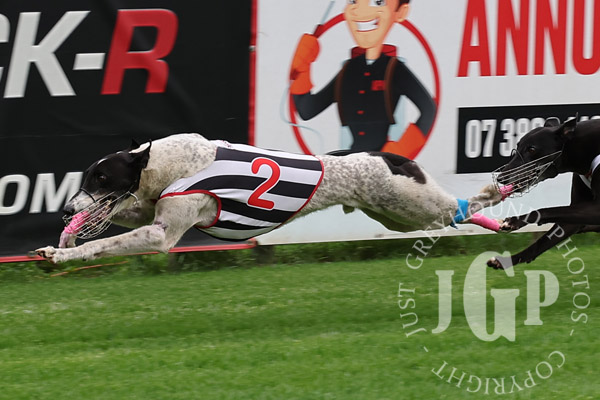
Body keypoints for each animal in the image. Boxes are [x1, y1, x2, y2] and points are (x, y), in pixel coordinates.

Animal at [36, 133, 506, 264]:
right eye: (86, 177)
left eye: (102, 177)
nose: (65, 209)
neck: (168, 164)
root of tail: (389, 156)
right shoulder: (148, 209)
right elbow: (120, 220)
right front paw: (64, 238)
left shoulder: (162, 234)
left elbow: (106, 243)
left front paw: (61, 254)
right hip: (398, 216)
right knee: (458, 216)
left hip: (414, 205)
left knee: (468, 204)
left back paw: (503, 194)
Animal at [488, 117, 600, 269]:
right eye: (517, 146)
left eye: (532, 149)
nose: (501, 178)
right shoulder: (573, 221)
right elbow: (541, 243)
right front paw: (505, 261)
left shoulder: (596, 209)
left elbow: (546, 210)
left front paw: (515, 221)